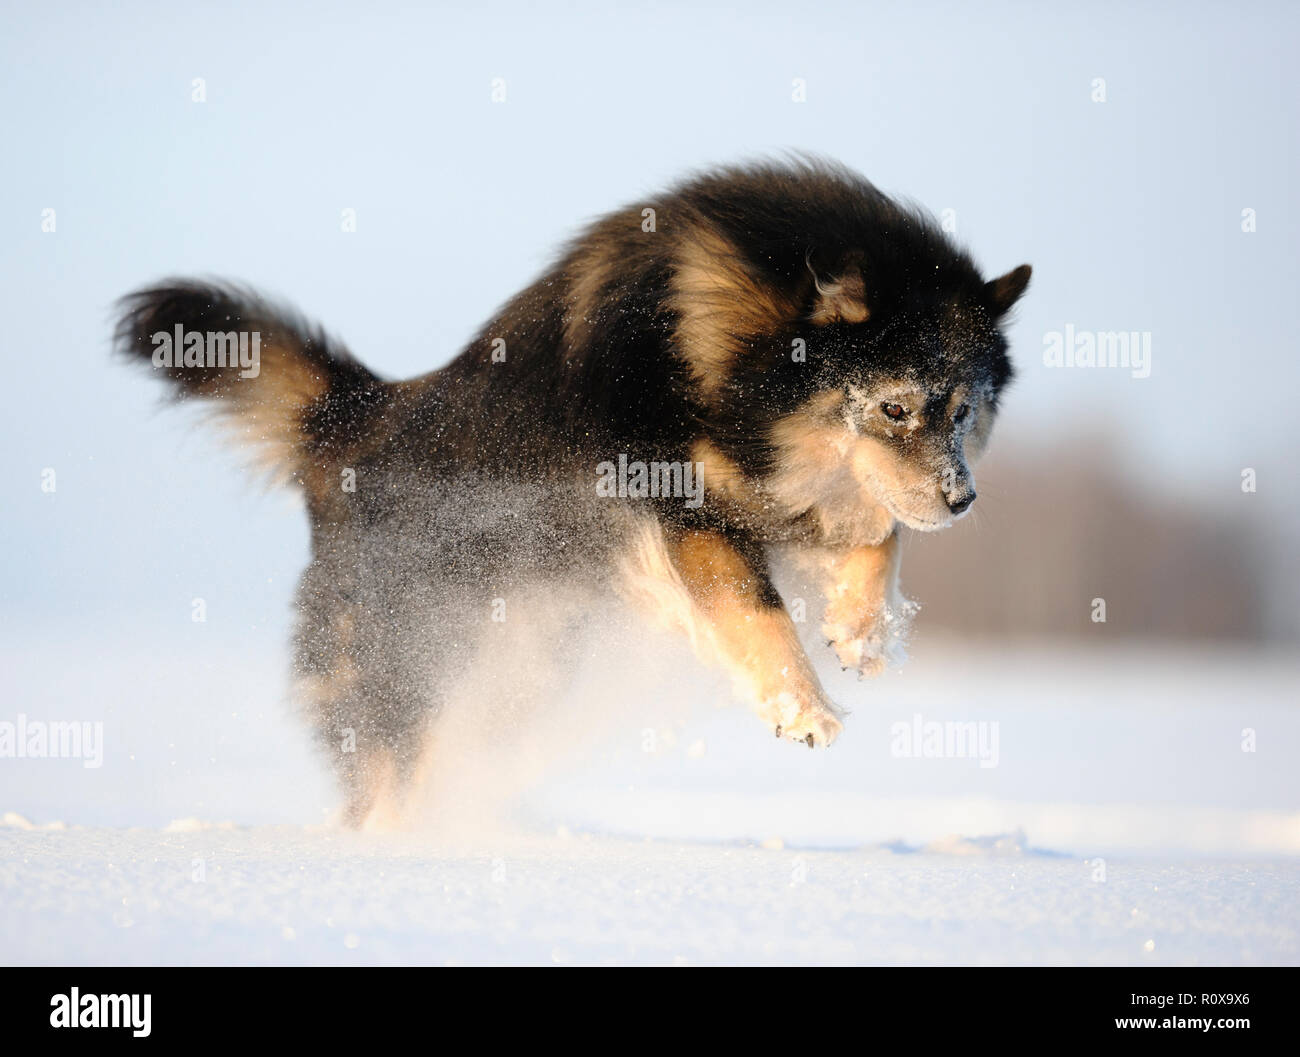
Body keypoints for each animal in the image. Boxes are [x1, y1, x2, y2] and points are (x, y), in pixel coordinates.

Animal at [119, 158, 1034, 826]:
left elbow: (883, 530)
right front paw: (802, 706)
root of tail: (354, 418)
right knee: (383, 767)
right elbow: (759, 605)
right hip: (407, 656)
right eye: (894, 405)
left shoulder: (806, 490)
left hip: (518, 657)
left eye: (963, 409)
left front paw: (863, 629)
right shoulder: (683, 507)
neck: (719, 343)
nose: (965, 501)